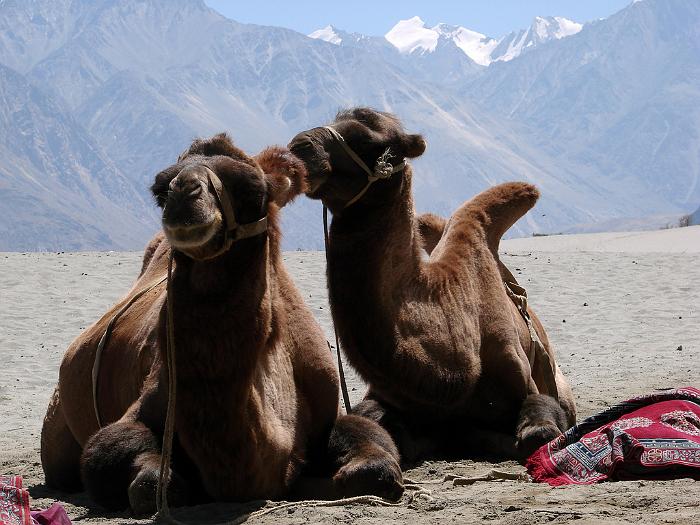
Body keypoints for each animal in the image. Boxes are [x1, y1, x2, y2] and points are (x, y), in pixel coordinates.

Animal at [41, 133, 402, 512]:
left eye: (252, 189)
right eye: (160, 189)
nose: (183, 192)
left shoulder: (326, 413)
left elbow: (374, 461)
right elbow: (132, 469)